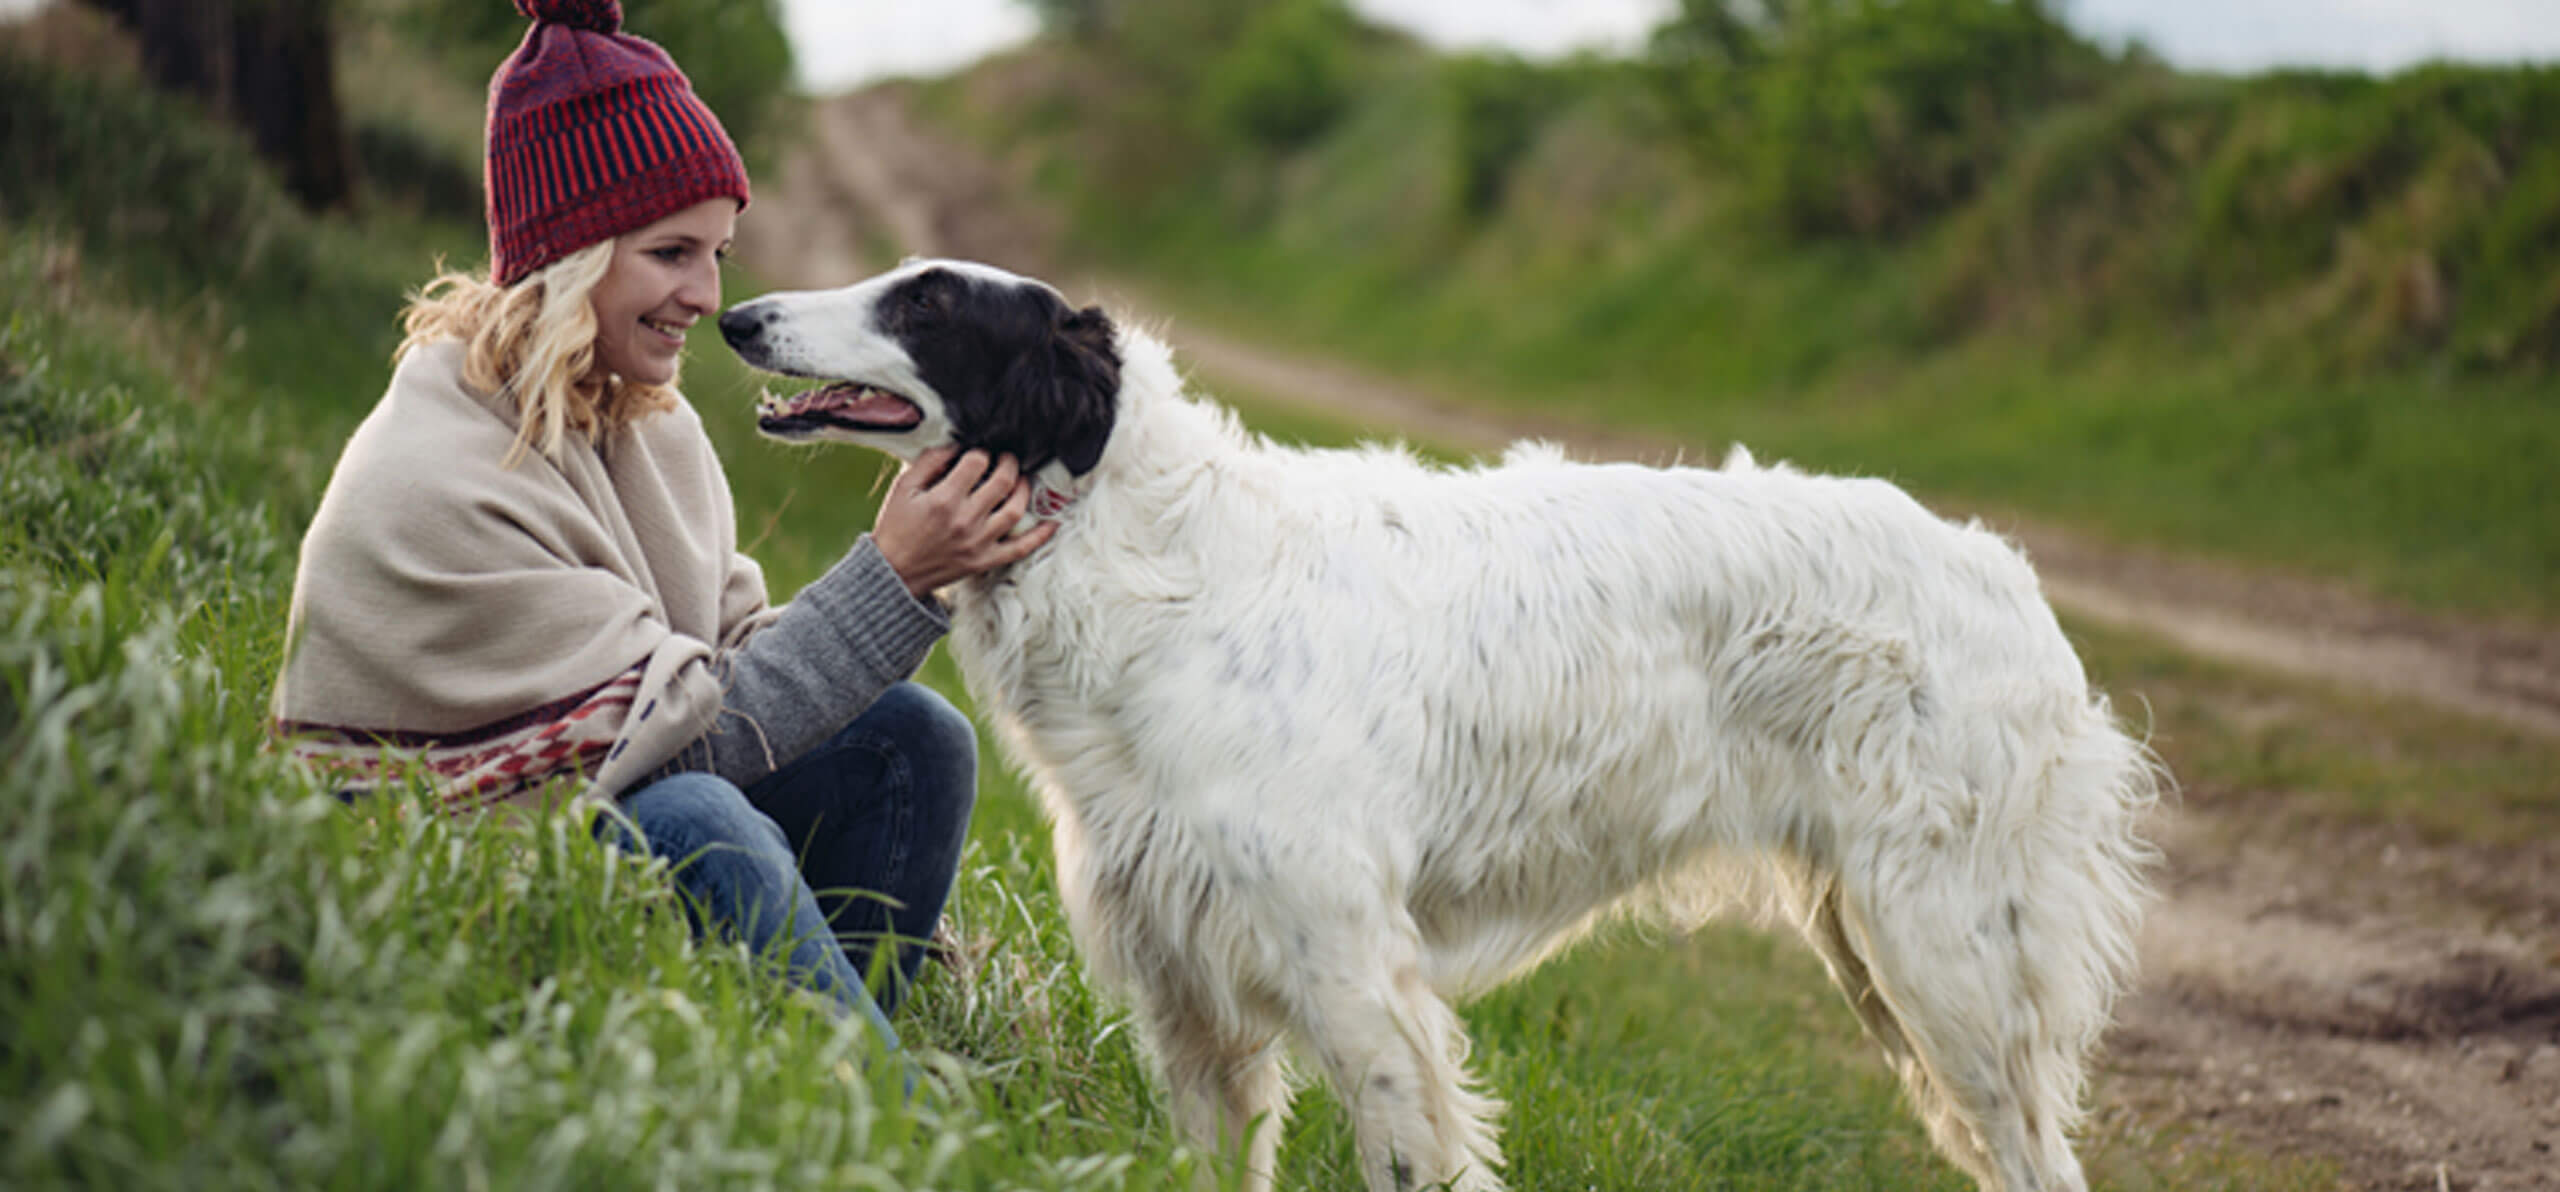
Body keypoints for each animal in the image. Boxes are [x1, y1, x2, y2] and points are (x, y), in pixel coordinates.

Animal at [721, 260, 2160, 1192]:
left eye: (924, 301)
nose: (738, 315)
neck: (1160, 559)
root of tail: (2003, 572)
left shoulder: (1352, 968)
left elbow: (1409, 1152)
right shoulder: (1190, 985)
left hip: (1947, 957)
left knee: (2038, 1154)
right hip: (1882, 946)